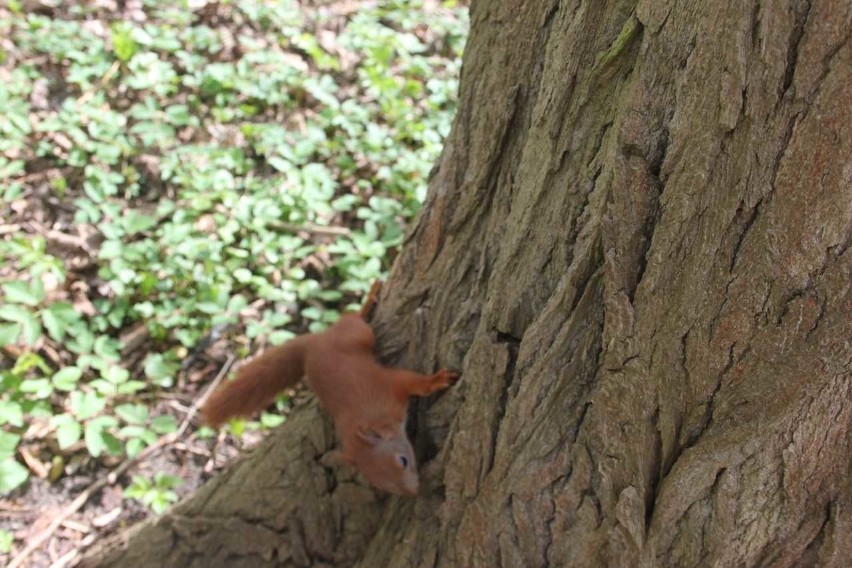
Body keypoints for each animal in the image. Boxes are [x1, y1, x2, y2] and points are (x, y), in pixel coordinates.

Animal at [201, 282, 460, 494]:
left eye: (403, 461)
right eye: (381, 484)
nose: (414, 491)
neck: (372, 418)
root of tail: (313, 343)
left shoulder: (388, 385)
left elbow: (412, 382)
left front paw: (437, 380)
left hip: (356, 335)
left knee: (353, 320)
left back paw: (368, 301)